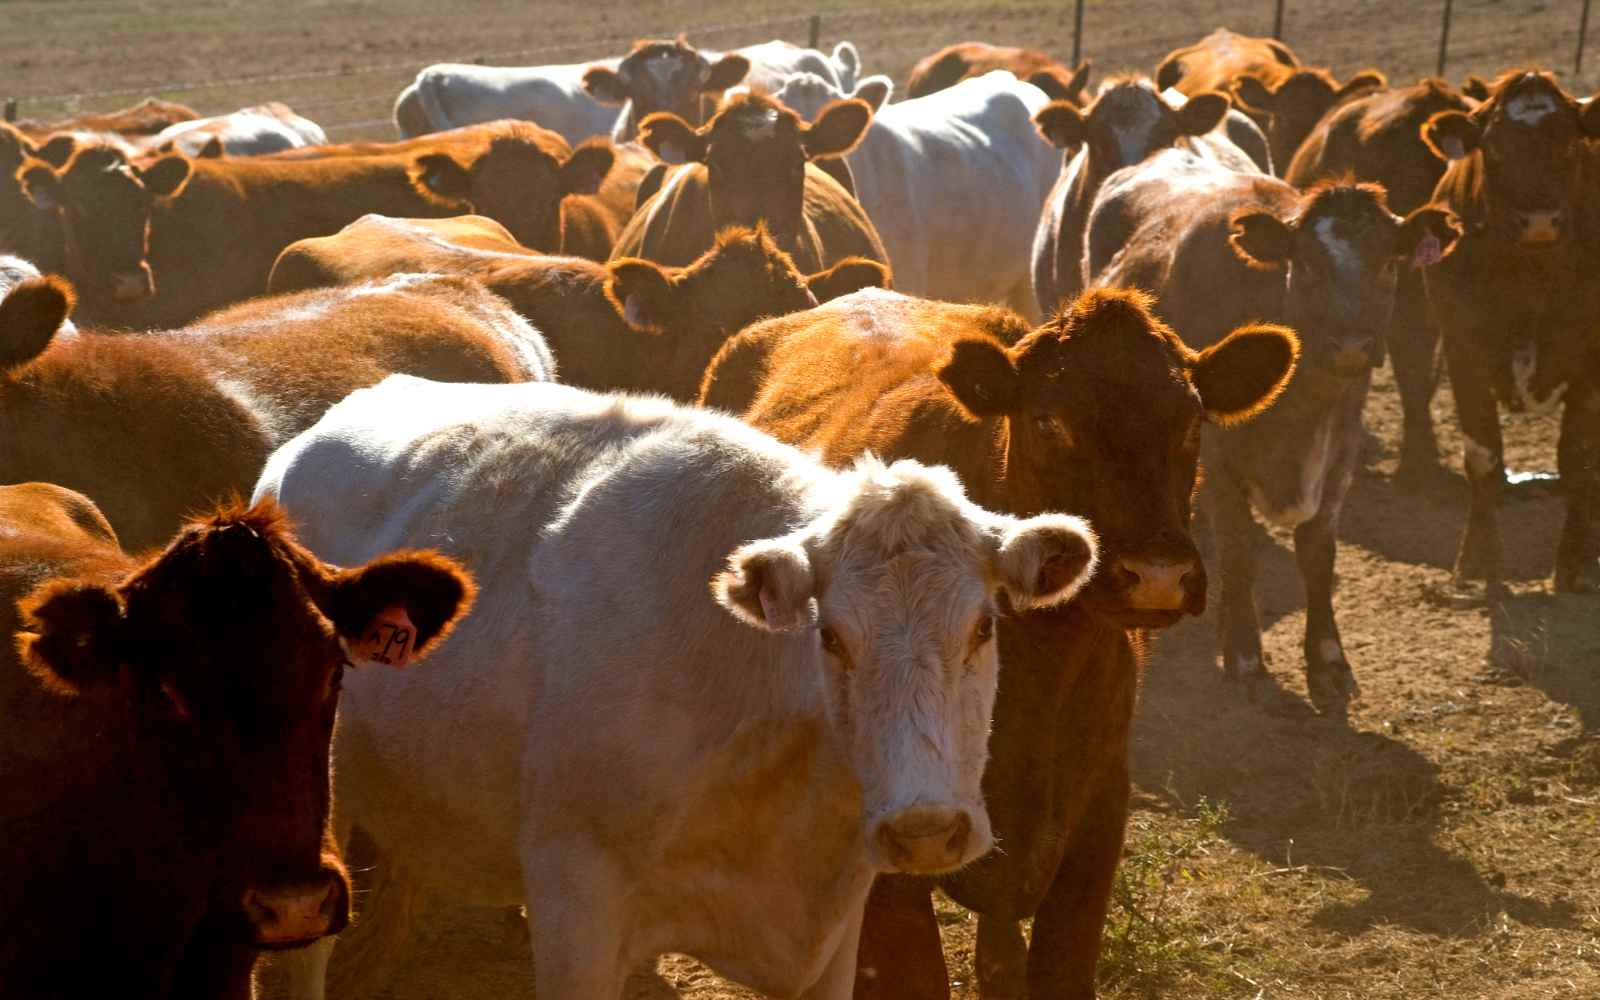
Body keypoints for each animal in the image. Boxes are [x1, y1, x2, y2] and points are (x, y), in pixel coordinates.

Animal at [1086, 149, 1460, 710]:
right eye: (1303, 263)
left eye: (1390, 263)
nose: (1351, 345)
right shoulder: (1217, 463)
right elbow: (1240, 552)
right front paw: (1244, 656)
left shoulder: (1339, 454)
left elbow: (1317, 554)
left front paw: (1328, 660)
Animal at [1420, 70, 1600, 592]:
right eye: (1495, 148)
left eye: (1569, 144)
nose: (1539, 221)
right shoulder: (1463, 348)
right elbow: (1483, 456)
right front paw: (1477, 566)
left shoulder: (1591, 359)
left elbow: (1579, 459)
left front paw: (1576, 565)